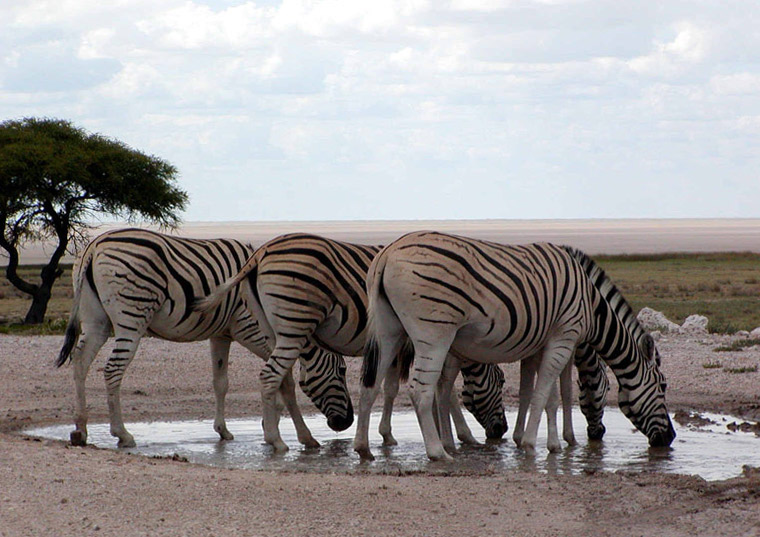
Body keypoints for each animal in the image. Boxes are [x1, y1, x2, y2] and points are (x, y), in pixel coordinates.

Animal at [56, 227, 354, 448]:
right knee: (112, 370)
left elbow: (220, 382)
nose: (347, 423)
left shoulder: (221, 334)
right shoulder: (252, 329)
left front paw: (224, 430)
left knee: (80, 361)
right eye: (342, 370)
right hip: (131, 318)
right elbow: (285, 381)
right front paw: (291, 432)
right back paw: (122, 434)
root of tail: (95, 245)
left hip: (96, 321)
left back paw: (80, 428)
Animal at [191, 232, 510, 450]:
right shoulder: (427, 340)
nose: (502, 432)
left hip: (273, 328)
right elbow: (442, 391)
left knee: (282, 379)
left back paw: (297, 438)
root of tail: (260, 253)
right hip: (294, 317)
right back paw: (277, 441)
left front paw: (388, 434)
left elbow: (392, 387)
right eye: (503, 381)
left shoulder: (400, 343)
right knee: (272, 377)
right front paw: (458, 436)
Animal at [356, 230, 676, 460]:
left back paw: (364, 449)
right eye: (662, 387)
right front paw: (540, 444)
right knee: (421, 390)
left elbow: (535, 393)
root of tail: (388, 252)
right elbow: (549, 392)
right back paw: (438, 452)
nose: (670, 438)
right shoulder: (564, 337)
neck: (591, 303)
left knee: (371, 385)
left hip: (389, 332)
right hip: (434, 334)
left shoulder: (539, 344)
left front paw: (534, 441)